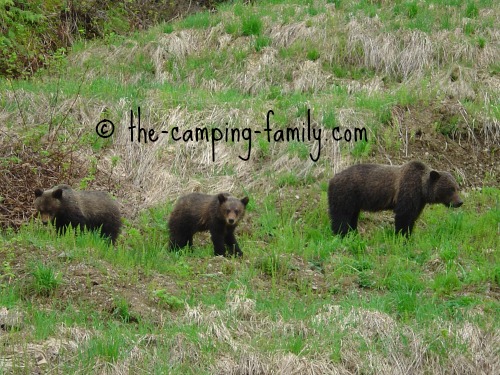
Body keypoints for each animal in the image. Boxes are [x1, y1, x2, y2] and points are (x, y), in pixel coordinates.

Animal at [328, 160, 464, 236]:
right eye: (451, 189)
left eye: (457, 188)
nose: (460, 202)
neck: (422, 188)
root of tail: (332, 179)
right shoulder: (407, 191)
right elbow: (403, 216)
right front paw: (401, 235)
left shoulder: (418, 201)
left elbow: (412, 217)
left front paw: (408, 234)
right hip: (346, 193)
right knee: (341, 215)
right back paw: (341, 233)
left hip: (354, 201)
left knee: (352, 216)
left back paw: (353, 232)